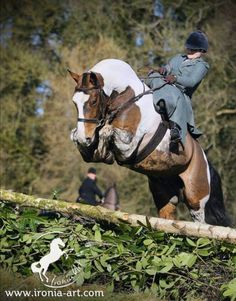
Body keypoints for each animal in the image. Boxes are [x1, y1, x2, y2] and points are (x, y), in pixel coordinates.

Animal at [68, 58, 229, 225]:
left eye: (93, 101)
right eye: (74, 102)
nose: (84, 138)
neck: (125, 98)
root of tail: (205, 160)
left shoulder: (129, 145)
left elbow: (107, 131)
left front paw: (103, 152)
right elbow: (76, 136)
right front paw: (91, 147)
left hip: (195, 196)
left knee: (199, 218)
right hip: (164, 193)